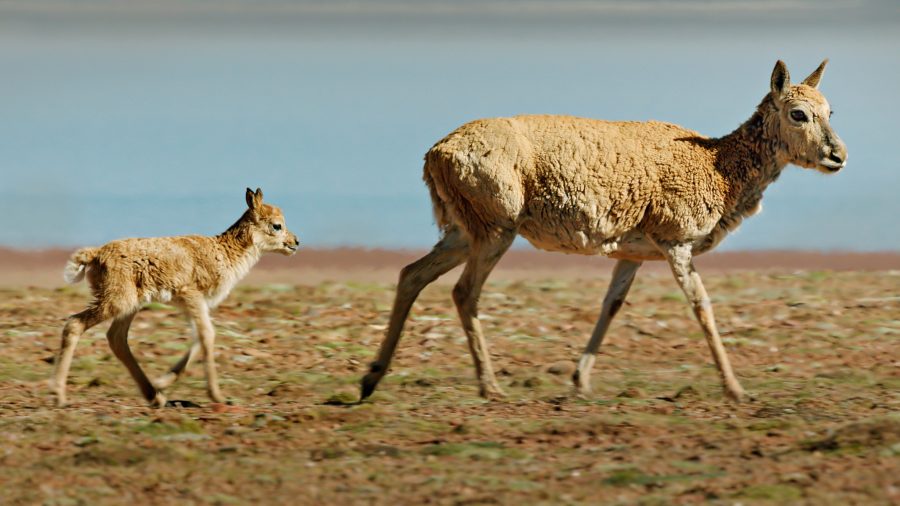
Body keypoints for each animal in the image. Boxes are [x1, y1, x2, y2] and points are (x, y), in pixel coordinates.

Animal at [51, 188, 298, 406]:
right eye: (277, 225)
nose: (295, 242)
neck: (223, 252)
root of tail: (95, 254)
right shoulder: (192, 296)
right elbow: (208, 335)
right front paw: (217, 396)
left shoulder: (193, 305)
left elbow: (200, 338)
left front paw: (163, 381)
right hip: (117, 301)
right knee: (74, 324)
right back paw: (59, 396)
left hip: (130, 305)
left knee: (116, 338)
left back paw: (154, 395)